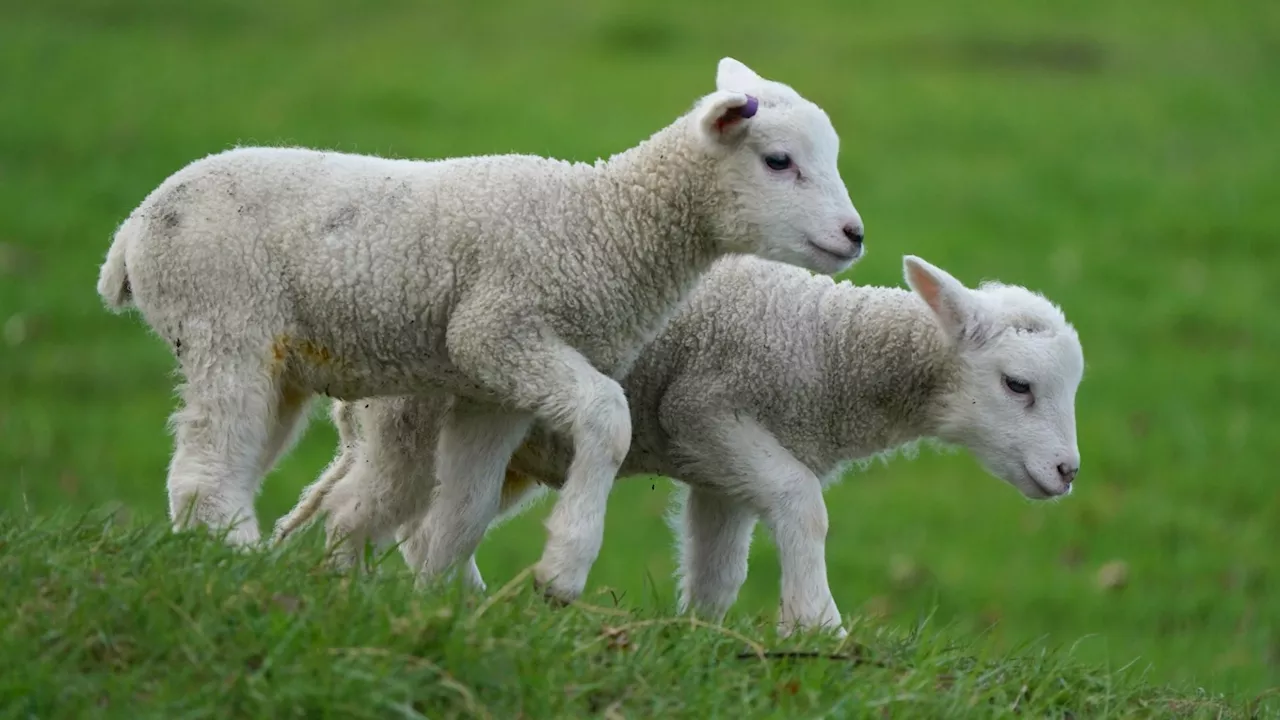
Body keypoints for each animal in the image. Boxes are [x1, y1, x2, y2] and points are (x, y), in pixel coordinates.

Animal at [94, 57, 865, 599]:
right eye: (778, 161)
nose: (854, 235)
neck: (606, 223)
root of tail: (131, 232)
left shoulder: (491, 385)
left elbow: (463, 508)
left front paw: (437, 602)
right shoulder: (500, 329)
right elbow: (608, 418)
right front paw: (563, 568)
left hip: (271, 361)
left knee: (239, 459)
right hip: (224, 319)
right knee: (204, 469)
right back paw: (240, 560)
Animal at [277, 253, 1080, 632]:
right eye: (1018, 385)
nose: (1067, 472)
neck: (830, 349)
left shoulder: (721, 471)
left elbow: (719, 568)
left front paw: (704, 632)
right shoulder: (706, 409)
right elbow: (804, 504)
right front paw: (819, 623)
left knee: (424, 524)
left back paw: (464, 602)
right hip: (407, 419)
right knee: (365, 509)